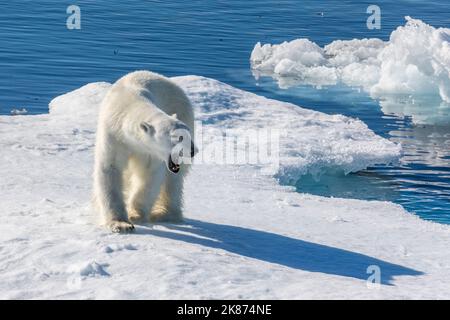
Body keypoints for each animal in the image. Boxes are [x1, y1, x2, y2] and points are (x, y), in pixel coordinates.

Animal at [92, 70, 196, 232]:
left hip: (184, 112)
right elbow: (110, 168)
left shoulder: (149, 151)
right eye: (178, 137)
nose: (192, 151)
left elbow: (149, 175)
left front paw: (135, 215)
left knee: (173, 181)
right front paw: (120, 224)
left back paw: (164, 214)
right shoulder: (114, 136)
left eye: (187, 135)